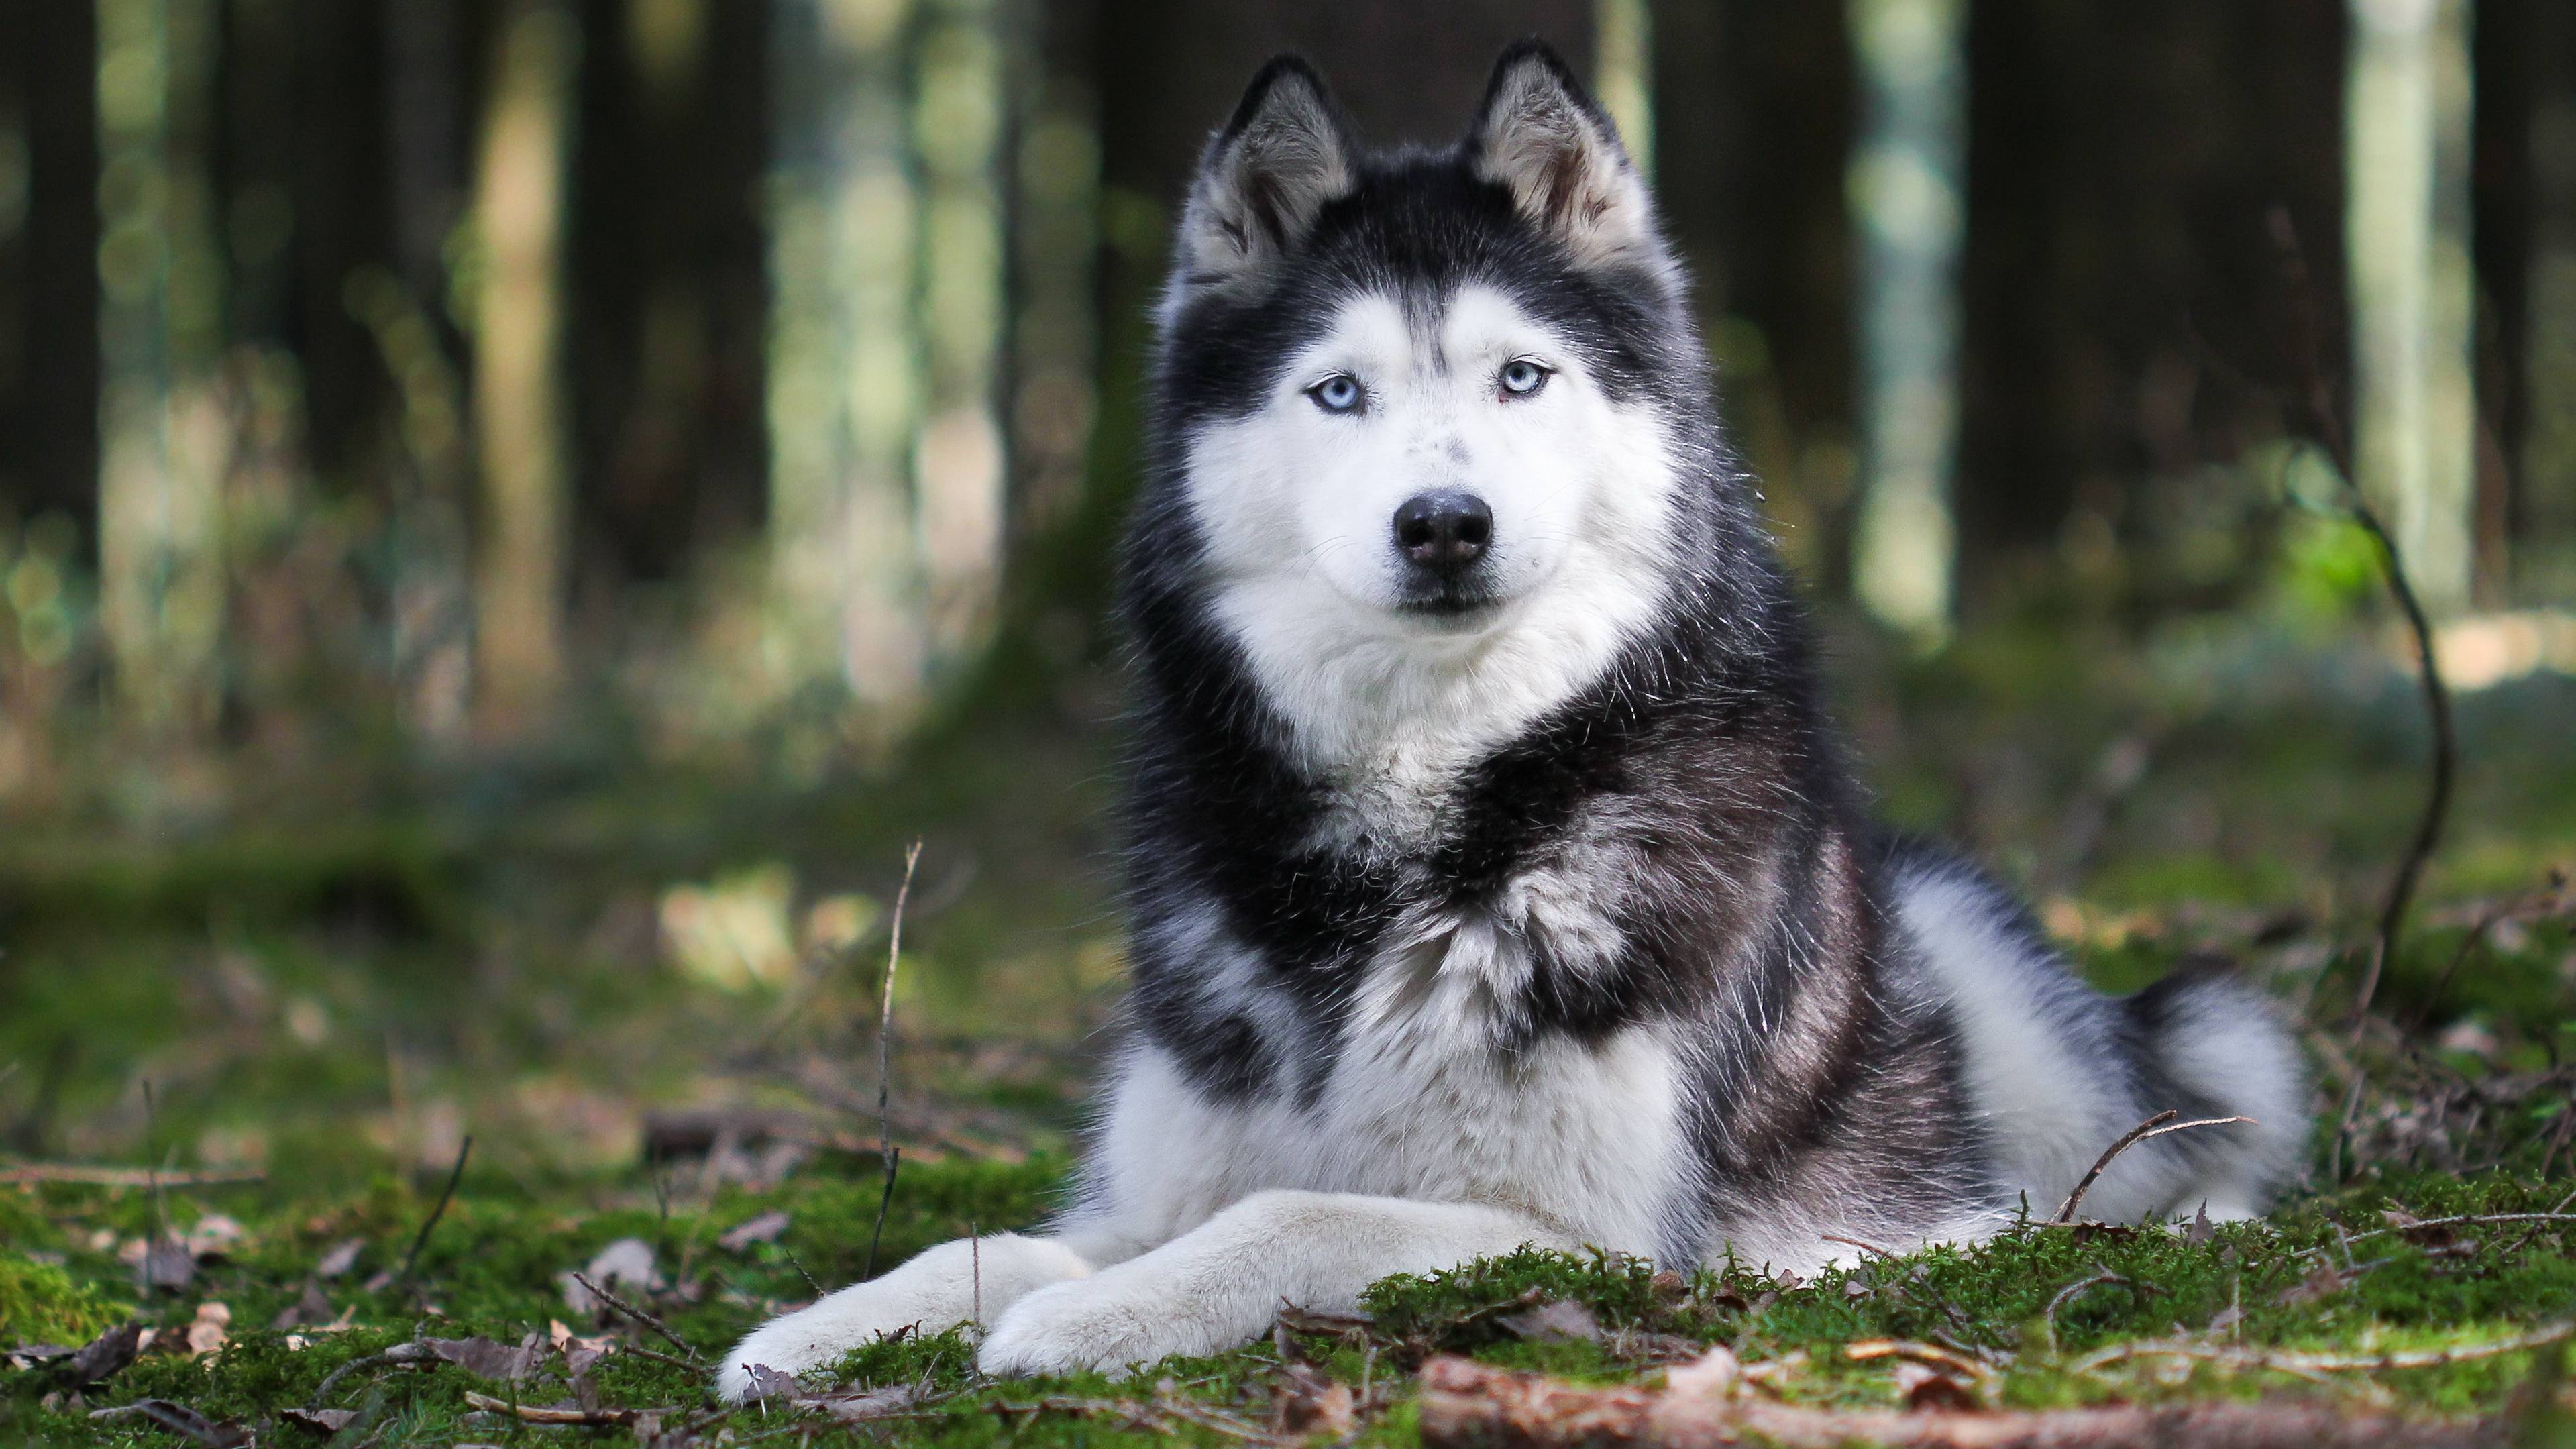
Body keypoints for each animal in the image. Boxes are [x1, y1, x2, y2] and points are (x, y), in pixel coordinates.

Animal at [716, 36, 2308, 1392]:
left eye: (1520, 376)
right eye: (1338, 392)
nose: (1443, 524)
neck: (1423, 815)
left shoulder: (1601, 1236)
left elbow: (1294, 1216)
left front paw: (1092, 1320)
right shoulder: (1166, 1167)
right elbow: (995, 1241)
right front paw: (820, 1328)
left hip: (1998, 989)